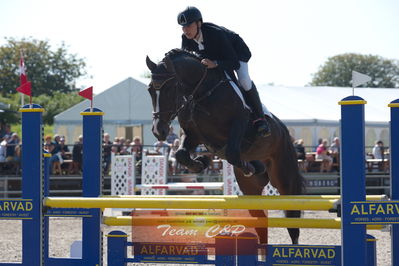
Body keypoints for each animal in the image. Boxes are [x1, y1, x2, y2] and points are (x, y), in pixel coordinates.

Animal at [145, 48, 304, 244]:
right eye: (150, 90)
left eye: (169, 89)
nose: (158, 131)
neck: (201, 93)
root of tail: (284, 130)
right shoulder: (192, 135)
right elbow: (182, 153)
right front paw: (201, 162)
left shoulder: (239, 122)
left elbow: (233, 154)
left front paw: (250, 167)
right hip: (250, 189)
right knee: (260, 219)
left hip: (284, 178)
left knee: (292, 219)